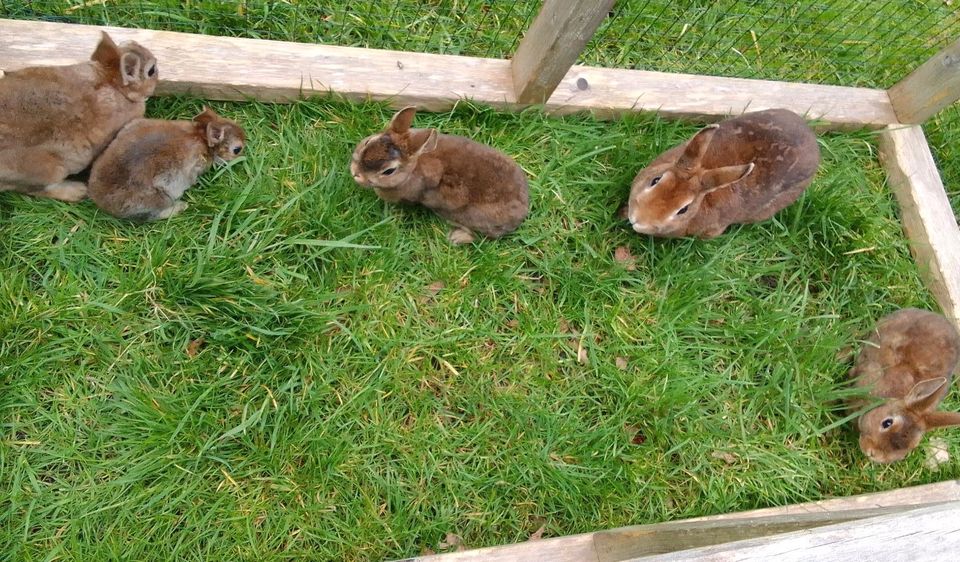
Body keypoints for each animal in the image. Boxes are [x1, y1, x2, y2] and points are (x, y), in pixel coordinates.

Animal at [88, 106, 248, 220]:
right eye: (237, 149)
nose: (244, 153)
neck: (202, 139)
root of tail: (99, 200)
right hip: (161, 198)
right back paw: (181, 206)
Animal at [348, 106, 528, 244]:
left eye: (389, 171)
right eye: (368, 142)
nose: (356, 173)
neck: (414, 167)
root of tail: (523, 211)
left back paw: (456, 238)